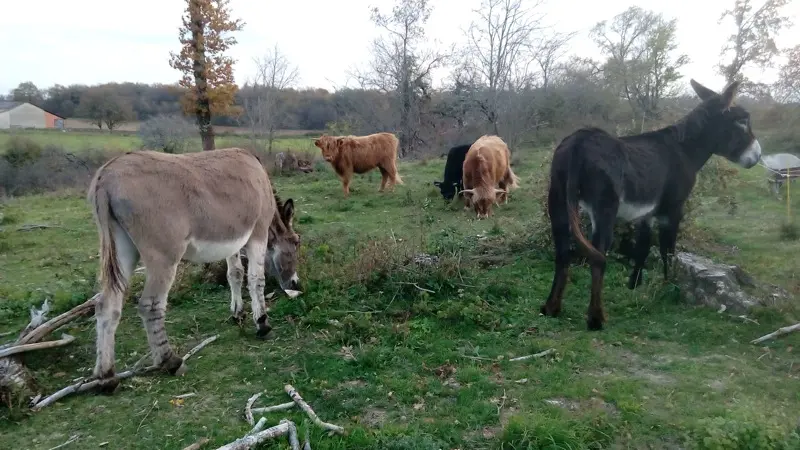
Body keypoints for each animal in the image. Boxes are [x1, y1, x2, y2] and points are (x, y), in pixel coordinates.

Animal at [86, 149, 300, 394]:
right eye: (297, 242)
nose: (295, 285)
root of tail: (107, 175)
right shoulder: (258, 232)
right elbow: (256, 280)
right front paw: (263, 324)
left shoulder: (234, 240)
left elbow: (235, 274)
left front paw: (237, 313)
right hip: (164, 257)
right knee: (150, 305)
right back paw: (170, 362)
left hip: (123, 249)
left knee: (106, 306)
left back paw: (107, 377)